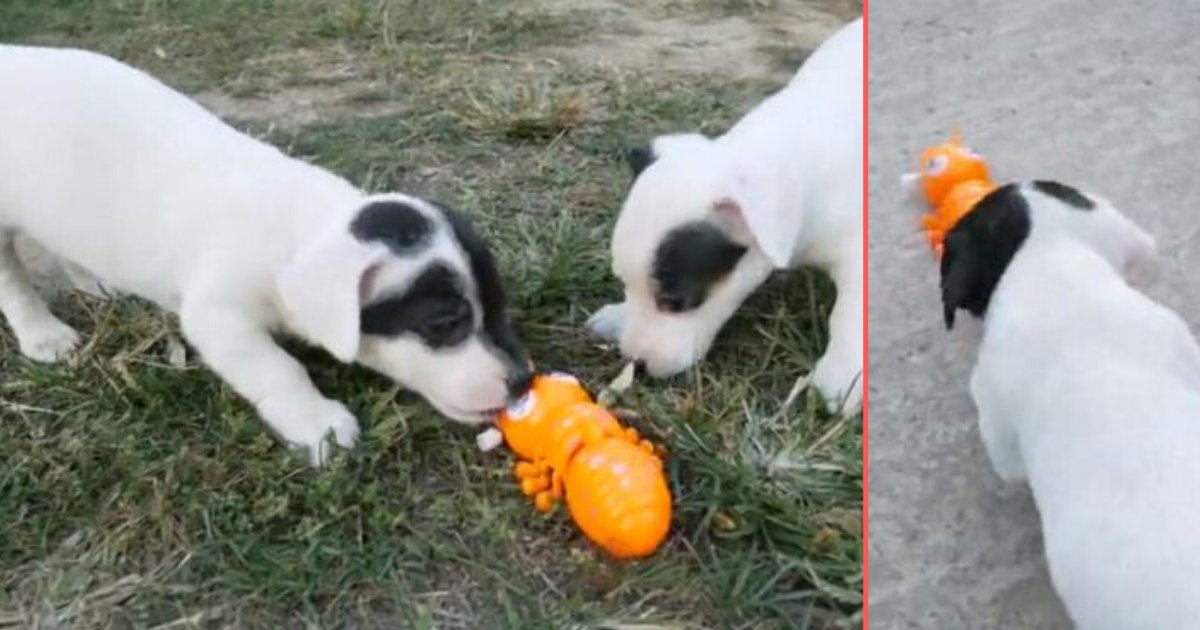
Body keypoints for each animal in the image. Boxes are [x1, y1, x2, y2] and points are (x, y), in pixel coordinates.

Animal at [0, 45, 535, 460]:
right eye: (444, 324)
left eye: (499, 306)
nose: (523, 382)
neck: (299, 230)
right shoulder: (218, 318)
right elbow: (279, 368)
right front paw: (318, 423)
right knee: (13, 282)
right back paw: (44, 335)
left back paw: (94, 281)